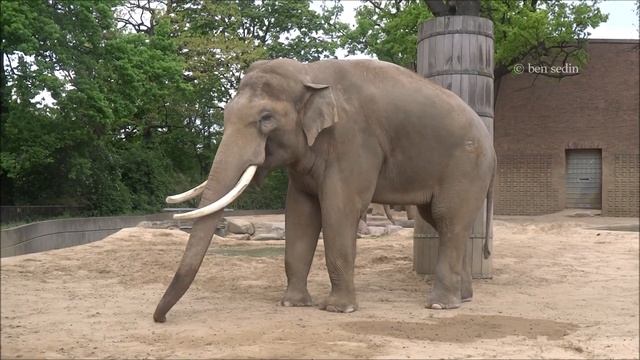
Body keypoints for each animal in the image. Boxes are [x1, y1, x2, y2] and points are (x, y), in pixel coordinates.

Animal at [154, 58, 496, 324]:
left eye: (266, 119)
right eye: (225, 116)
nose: (160, 319)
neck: (310, 74)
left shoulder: (353, 141)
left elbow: (339, 209)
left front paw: (338, 310)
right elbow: (300, 213)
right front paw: (292, 304)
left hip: (466, 166)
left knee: (447, 218)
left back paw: (440, 305)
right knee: (444, 222)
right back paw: (464, 298)